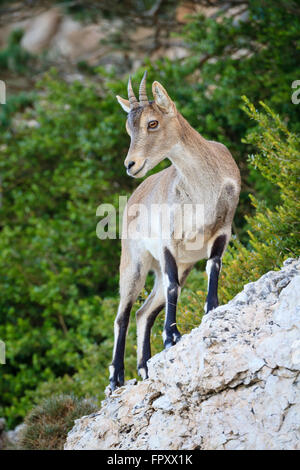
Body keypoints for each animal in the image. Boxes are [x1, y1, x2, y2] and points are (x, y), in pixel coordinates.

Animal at [109, 72, 240, 390]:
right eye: (128, 127)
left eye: (152, 123)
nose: (130, 165)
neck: (204, 187)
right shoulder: (168, 240)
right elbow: (173, 286)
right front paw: (172, 337)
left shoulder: (222, 230)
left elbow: (213, 266)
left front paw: (211, 310)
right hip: (134, 262)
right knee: (123, 314)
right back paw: (116, 377)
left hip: (181, 265)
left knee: (144, 312)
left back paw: (144, 367)